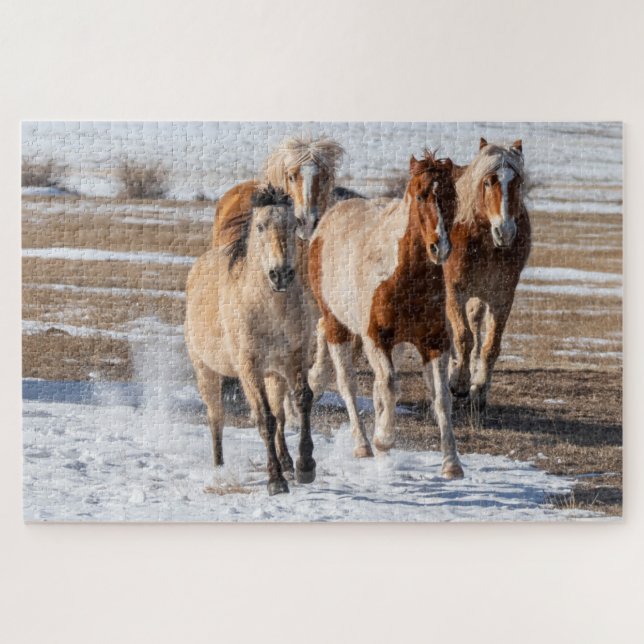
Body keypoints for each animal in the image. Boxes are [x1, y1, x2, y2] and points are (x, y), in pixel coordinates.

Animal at [184, 185, 316, 496]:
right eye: (260, 227)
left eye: (293, 225)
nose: (281, 274)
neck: (270, 308)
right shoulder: (249, 367)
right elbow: (264, 418)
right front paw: (275, 481)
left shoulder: (295, 357)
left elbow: (302, 400)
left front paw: (305, 466)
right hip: (206, 371)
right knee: (216, 417)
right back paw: (219, 467)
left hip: (274, 374)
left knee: (280, 414)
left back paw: (288, 462)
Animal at [309, 150, 464, 479]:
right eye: (420, 195)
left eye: (450, 196)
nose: (440, 247)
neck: (403, 276)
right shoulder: (376, 339)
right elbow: (390, 384)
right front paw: (383, 439)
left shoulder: (434, 342)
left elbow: (440, 398)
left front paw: (452, 463)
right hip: (338, 326)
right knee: (347, 381)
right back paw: (363, 445)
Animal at [444, 138, 531, 412]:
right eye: (487, 181)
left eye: (518, 182)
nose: (505, 231)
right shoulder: (454, 291)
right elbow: (463, 337)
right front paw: (459, 383)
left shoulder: (501, 296)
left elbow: (490, 345)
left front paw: (479, 390)